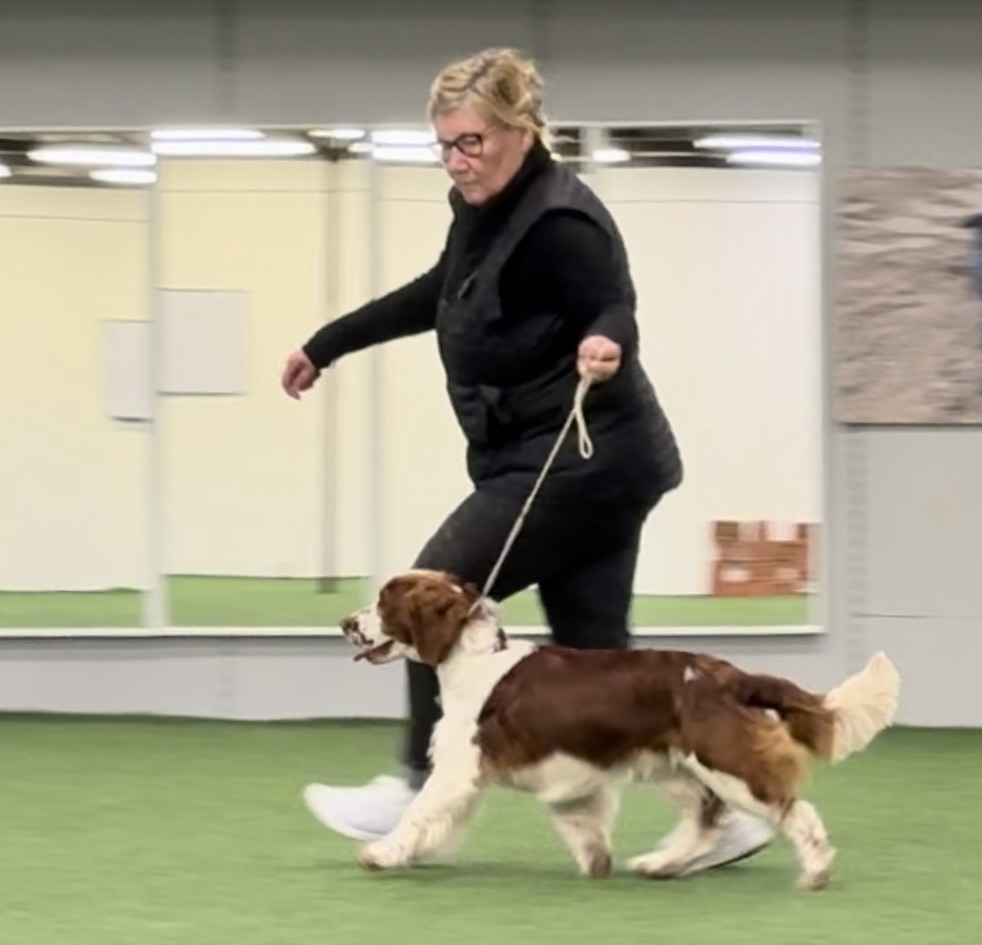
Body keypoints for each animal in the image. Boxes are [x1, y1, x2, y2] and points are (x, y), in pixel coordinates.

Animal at [331, 568, 900, 890]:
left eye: (384, 602)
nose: (345, 623)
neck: (471, 659)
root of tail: (732, 676)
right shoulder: (560, 774)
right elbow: (580, 825)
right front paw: (597, 863)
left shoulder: (459, 768)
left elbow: (418, 812)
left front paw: (379, 854)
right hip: (678, 768)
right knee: (706, 820)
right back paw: (661, 865)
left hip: (725, 762)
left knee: (792, 811)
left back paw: (816, 872)